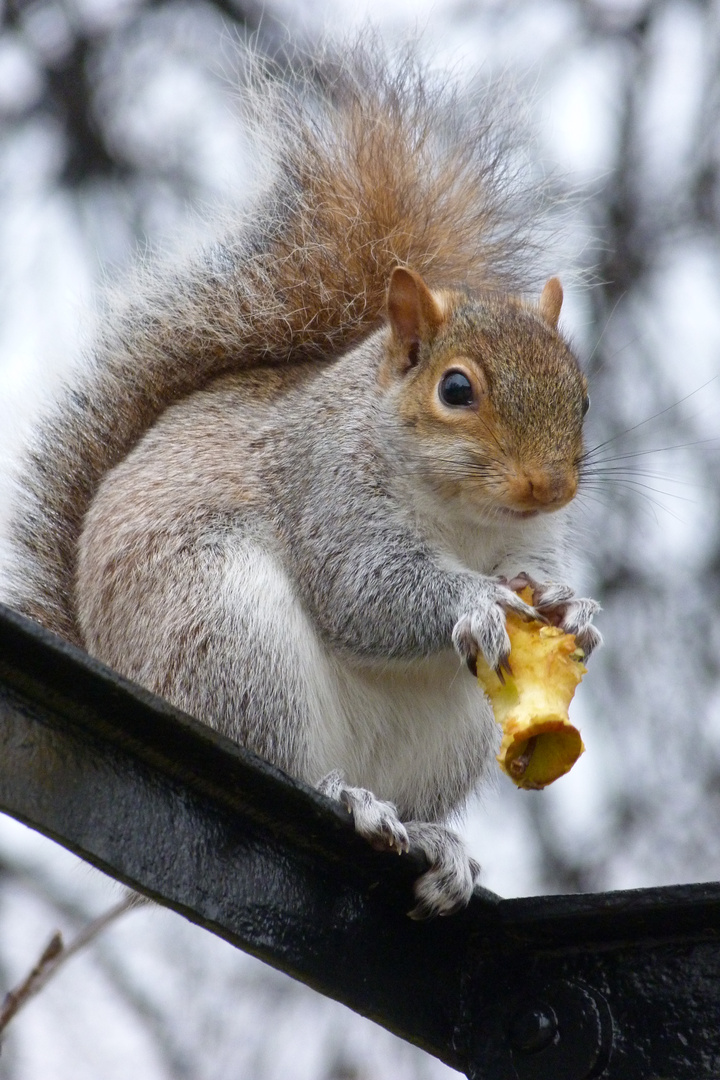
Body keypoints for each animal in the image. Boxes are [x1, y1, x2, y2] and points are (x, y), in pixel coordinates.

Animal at [5, 44, 604, 920]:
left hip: (445, 738)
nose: (548, 487)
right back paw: (347, 799)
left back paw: (434, 841)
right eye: (456, 389)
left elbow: (538, 573)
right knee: (285, 763)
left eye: (582, 396)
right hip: (228, 638)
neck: (465, 517)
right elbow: (363, 588)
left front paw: (575, 609)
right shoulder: (326, 492)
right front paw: (476, 600)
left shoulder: (529, 537)